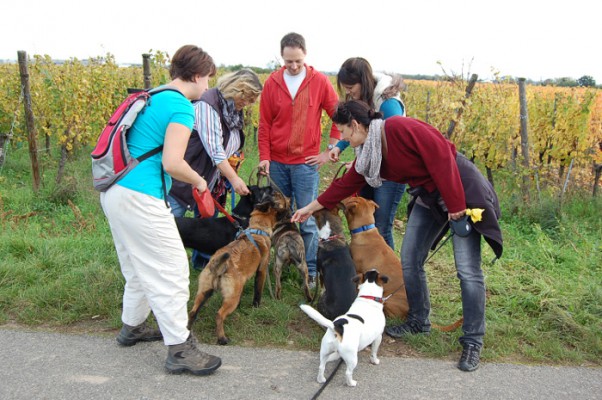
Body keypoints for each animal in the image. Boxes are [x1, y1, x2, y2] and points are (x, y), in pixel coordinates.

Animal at [189, 191, 290, 344]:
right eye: (277, 206)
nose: (288, 208)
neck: (257, 230)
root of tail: (219, 263)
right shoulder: (261, 271)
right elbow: (258, 293)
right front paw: (256, 307)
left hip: (205, 291)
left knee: (192, 312)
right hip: (231, 297)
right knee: (219, 314)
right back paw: (222, 338)